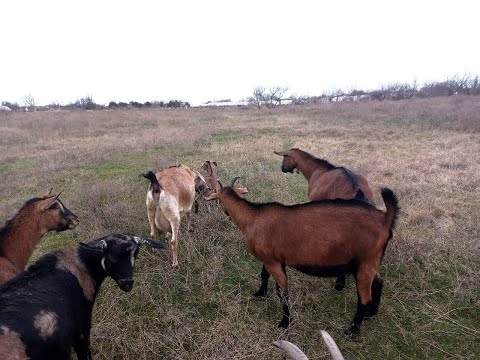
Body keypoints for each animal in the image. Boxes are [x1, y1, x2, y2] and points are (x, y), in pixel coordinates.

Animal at [205, 177, 398, 334]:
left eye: (219, 201)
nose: (226, 213)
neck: (252, 218)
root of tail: (385, 218)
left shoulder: (274, 261)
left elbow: (282, 293)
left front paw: (285, 323)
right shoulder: (270, 259)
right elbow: (263, 274)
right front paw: (260, 293)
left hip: (365, 263)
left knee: (364, 298)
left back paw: (353, 330)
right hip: (371, 262)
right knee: (379, 282)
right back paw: (372, 313)